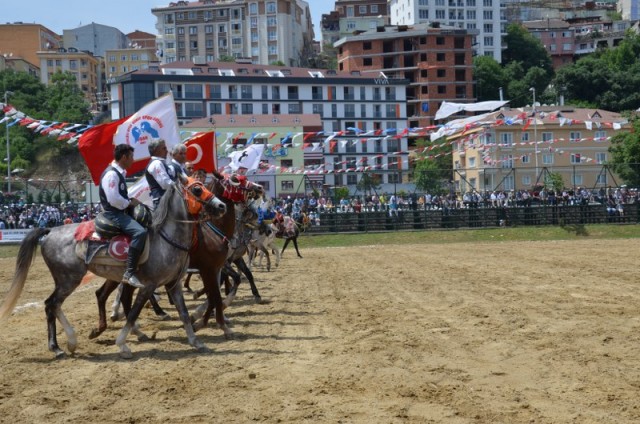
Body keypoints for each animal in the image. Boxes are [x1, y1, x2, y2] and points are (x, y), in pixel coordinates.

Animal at [0, 175, 226, 358]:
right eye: (197, 189)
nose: (221, 206)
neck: (165, 238)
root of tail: (50, 231)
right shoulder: (148, 286)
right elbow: (133, 313)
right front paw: (122, 345)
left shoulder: (173, 285)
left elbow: (184, 314)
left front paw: (196, 341)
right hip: (68, 279)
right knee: (51, 304)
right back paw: (61, 345)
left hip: (68, 280)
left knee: (53, 305)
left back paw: (66, 344)